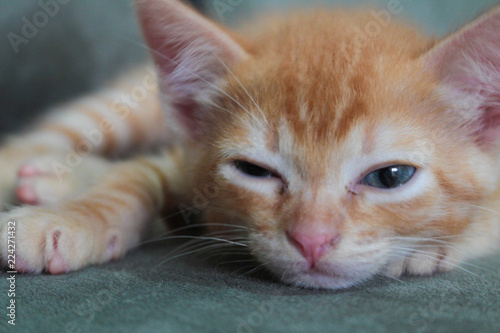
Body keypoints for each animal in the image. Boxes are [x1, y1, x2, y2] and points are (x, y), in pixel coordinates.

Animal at [0, 0, 500, 288]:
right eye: (255, 171)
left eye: (391, 177)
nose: (312, 241)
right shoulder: (189, 162)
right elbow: (137, 174)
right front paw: (66, 219)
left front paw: (429, 247)